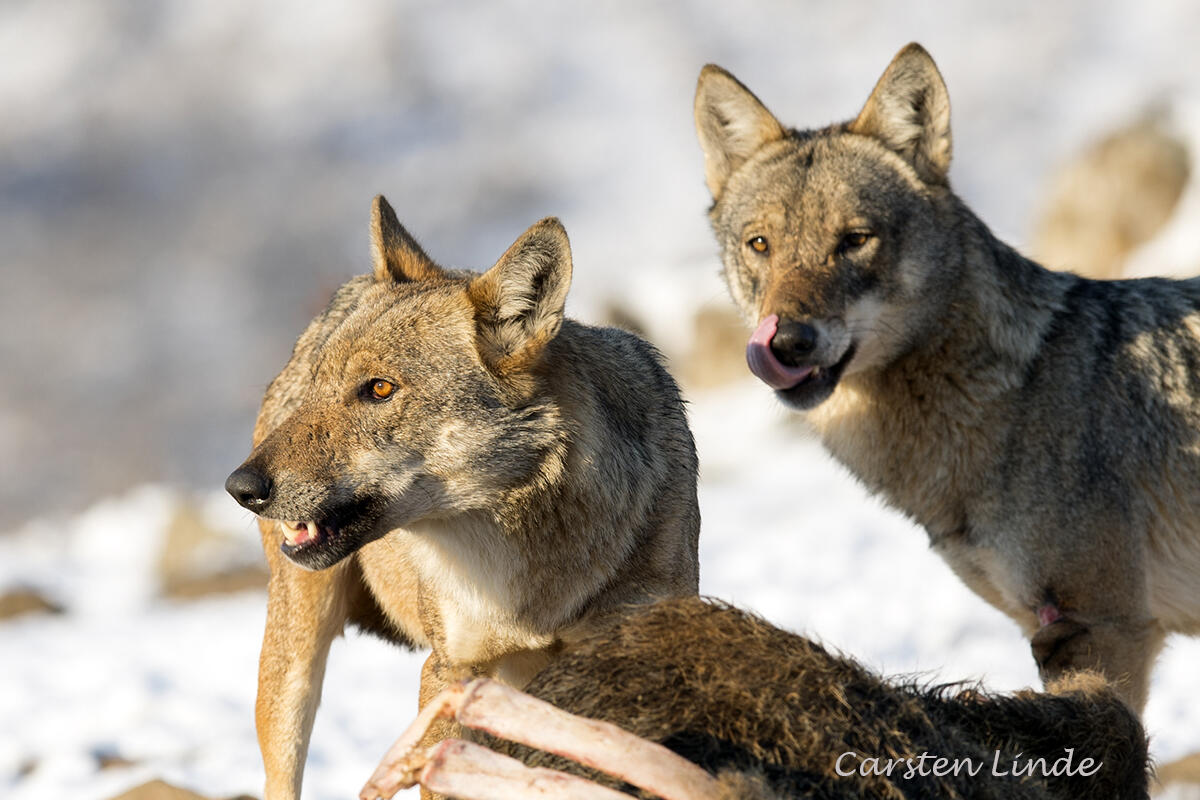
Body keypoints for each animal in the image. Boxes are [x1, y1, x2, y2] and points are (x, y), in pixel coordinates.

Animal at [693, 43, 1200, 712]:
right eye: (760, 244)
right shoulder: (1051, 627)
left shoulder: (1104, 628)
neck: (1012, 396)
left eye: (854, 240)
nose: (788, 343)